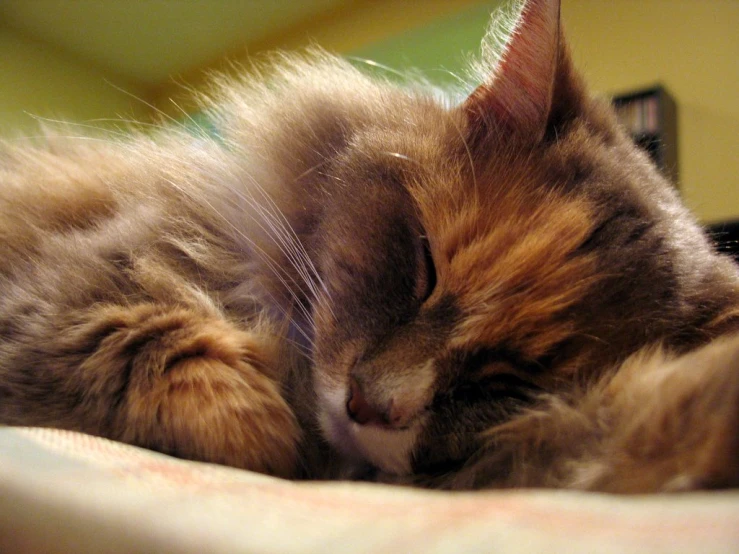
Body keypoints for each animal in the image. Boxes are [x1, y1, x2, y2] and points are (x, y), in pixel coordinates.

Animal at [1, 0, 739, 492]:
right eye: (424, 264)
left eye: (508, 379)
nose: (368, 405)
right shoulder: (70, 293)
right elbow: (173, 357)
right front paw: (269, 430)